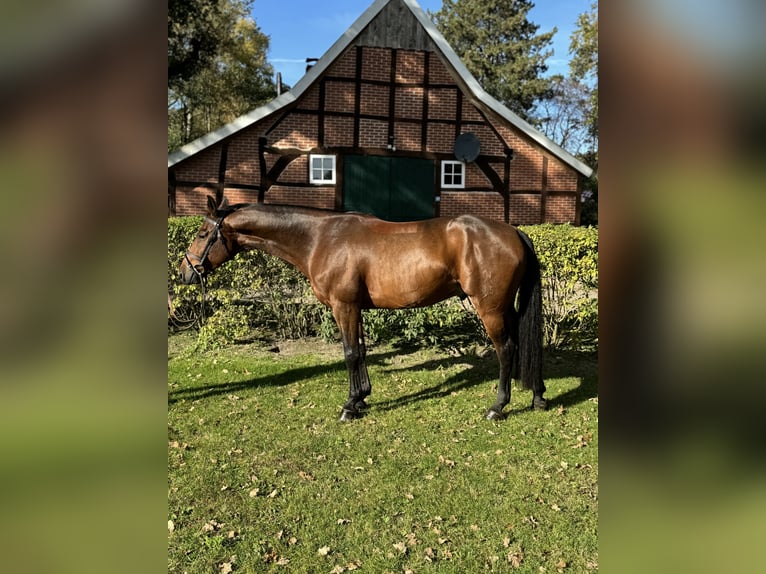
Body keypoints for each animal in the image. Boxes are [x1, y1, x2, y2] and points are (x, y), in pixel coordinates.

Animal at [181, 198, 548, 424]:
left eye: (202, 232)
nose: (186, 271)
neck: (319, 238)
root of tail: (513, 231)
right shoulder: (354, 308)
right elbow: (360, 350)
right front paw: (361, 398)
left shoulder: (343, 306)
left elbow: (349, 354)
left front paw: (349, 407)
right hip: (506, 308)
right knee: (523, 346)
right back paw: (537, 397)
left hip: (490, 308)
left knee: (506, 349)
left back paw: (498, 407)